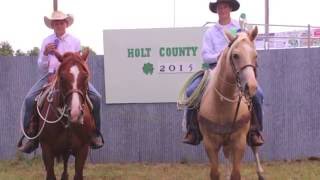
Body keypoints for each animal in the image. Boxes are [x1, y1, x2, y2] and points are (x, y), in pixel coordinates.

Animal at [36, 49, 94, 180]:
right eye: (62, 77)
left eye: (85, 77)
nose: (75, 113)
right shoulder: (47, 150)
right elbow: (50, 175)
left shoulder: (83, 150)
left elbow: (78, 174)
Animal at [199, 27, 264, 180]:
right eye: (235, 55)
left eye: (255, 55)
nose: (251, 87)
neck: (222, 105)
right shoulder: (209, 143)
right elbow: (215, 173)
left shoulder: (239, 141)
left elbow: (236, 174)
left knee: (254, 147)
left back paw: (260, 172)